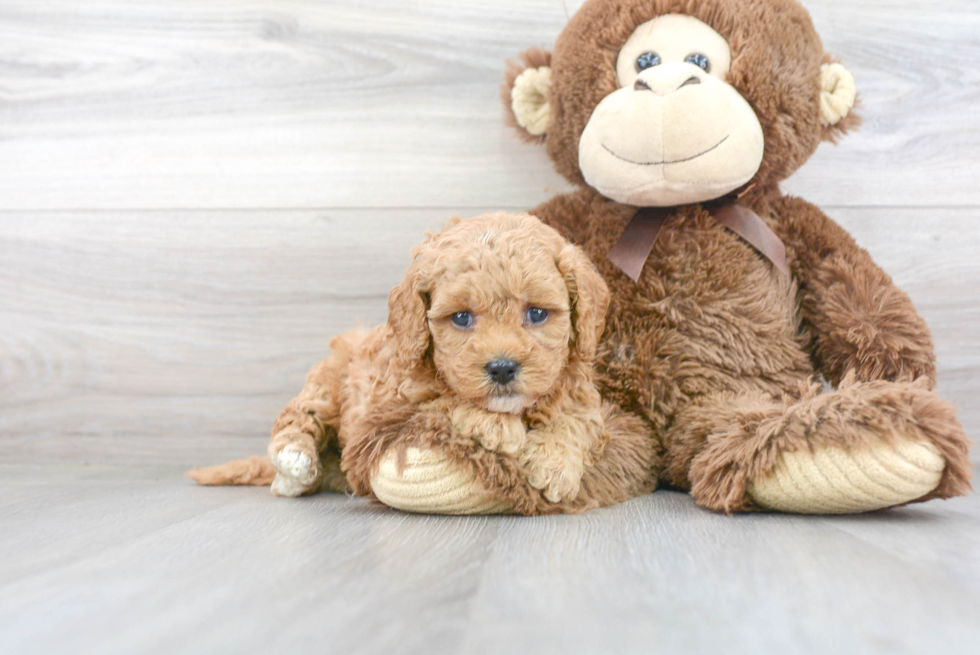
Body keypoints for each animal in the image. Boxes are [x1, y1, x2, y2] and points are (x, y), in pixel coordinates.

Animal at [190, 213, 612, 510]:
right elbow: (442, 398)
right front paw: (494, 425)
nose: (502, 368)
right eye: (462, 318)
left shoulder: (582, 394)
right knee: (298, 417)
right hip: (328, 382)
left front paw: (554, 463)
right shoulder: (392, 401)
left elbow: (576, 420)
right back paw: (293, 465)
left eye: (537, 313)